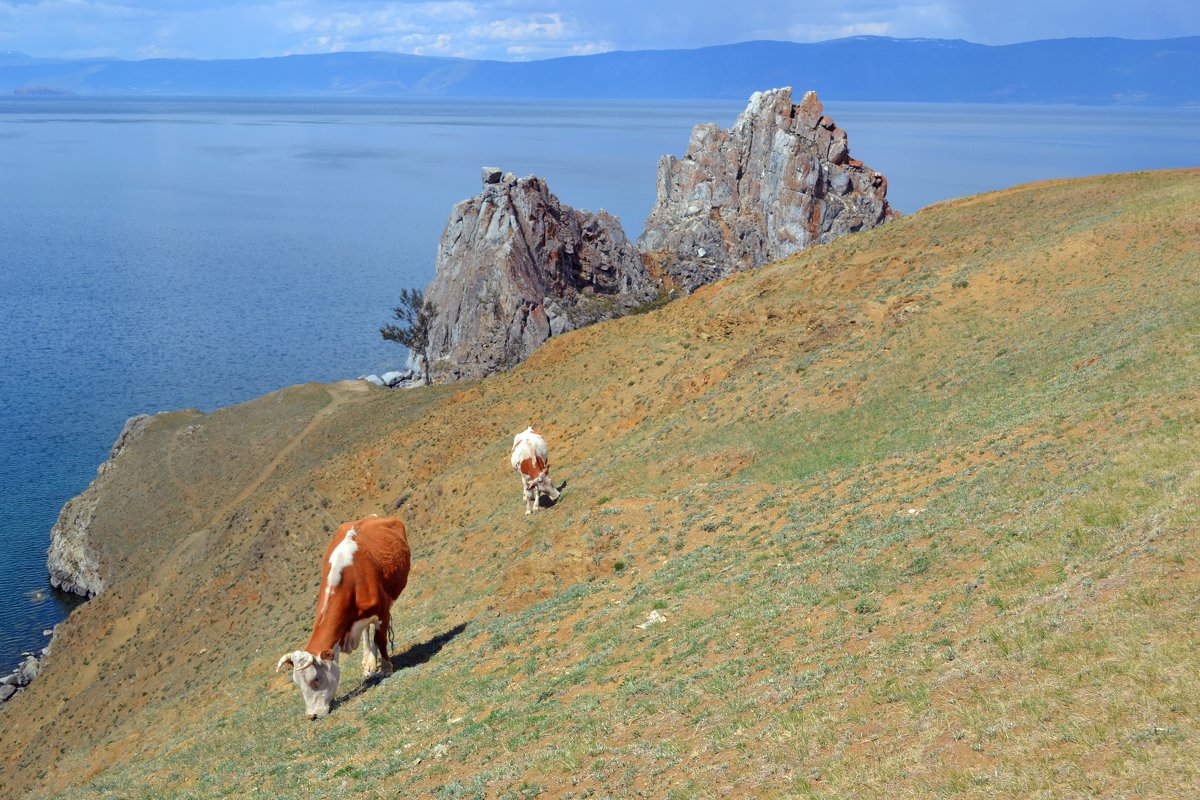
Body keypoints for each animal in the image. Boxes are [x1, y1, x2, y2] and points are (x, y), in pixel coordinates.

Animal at [276, 515, 412, 724]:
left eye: (316, 679)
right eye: (297, 683)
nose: (312, 715)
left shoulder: (381, 611)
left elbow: (380, 640)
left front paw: (387, 668)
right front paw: (371, 665)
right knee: (366, 632)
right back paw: (368, 663)